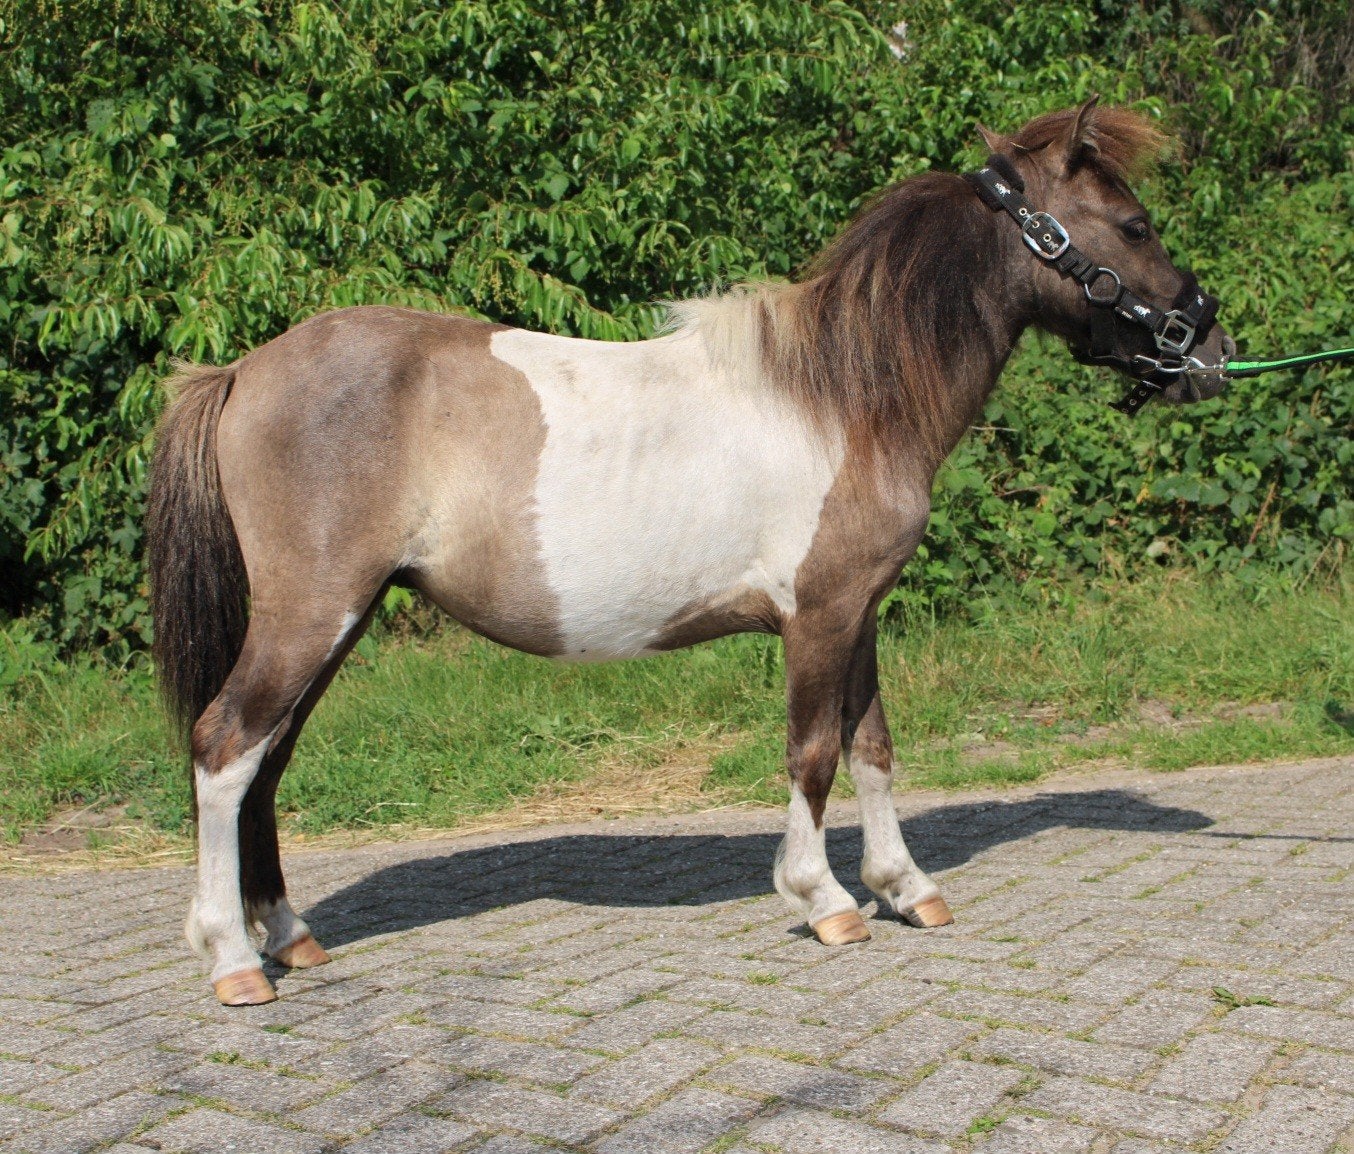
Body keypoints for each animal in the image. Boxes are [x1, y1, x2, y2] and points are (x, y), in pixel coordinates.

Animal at [147, 99, 1233, 1005]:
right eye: (1134, 225)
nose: (1208, 352)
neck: (844, 393)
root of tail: (241, 371)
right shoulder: (818, 616)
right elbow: (812, 752)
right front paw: (824, 899)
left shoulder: (859, 610)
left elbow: (873, 748)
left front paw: (905, 885)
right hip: (312, 611)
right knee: (225, 747)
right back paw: (233, 959)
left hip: (339, 618)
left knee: (268, 759)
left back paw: (289, 935)